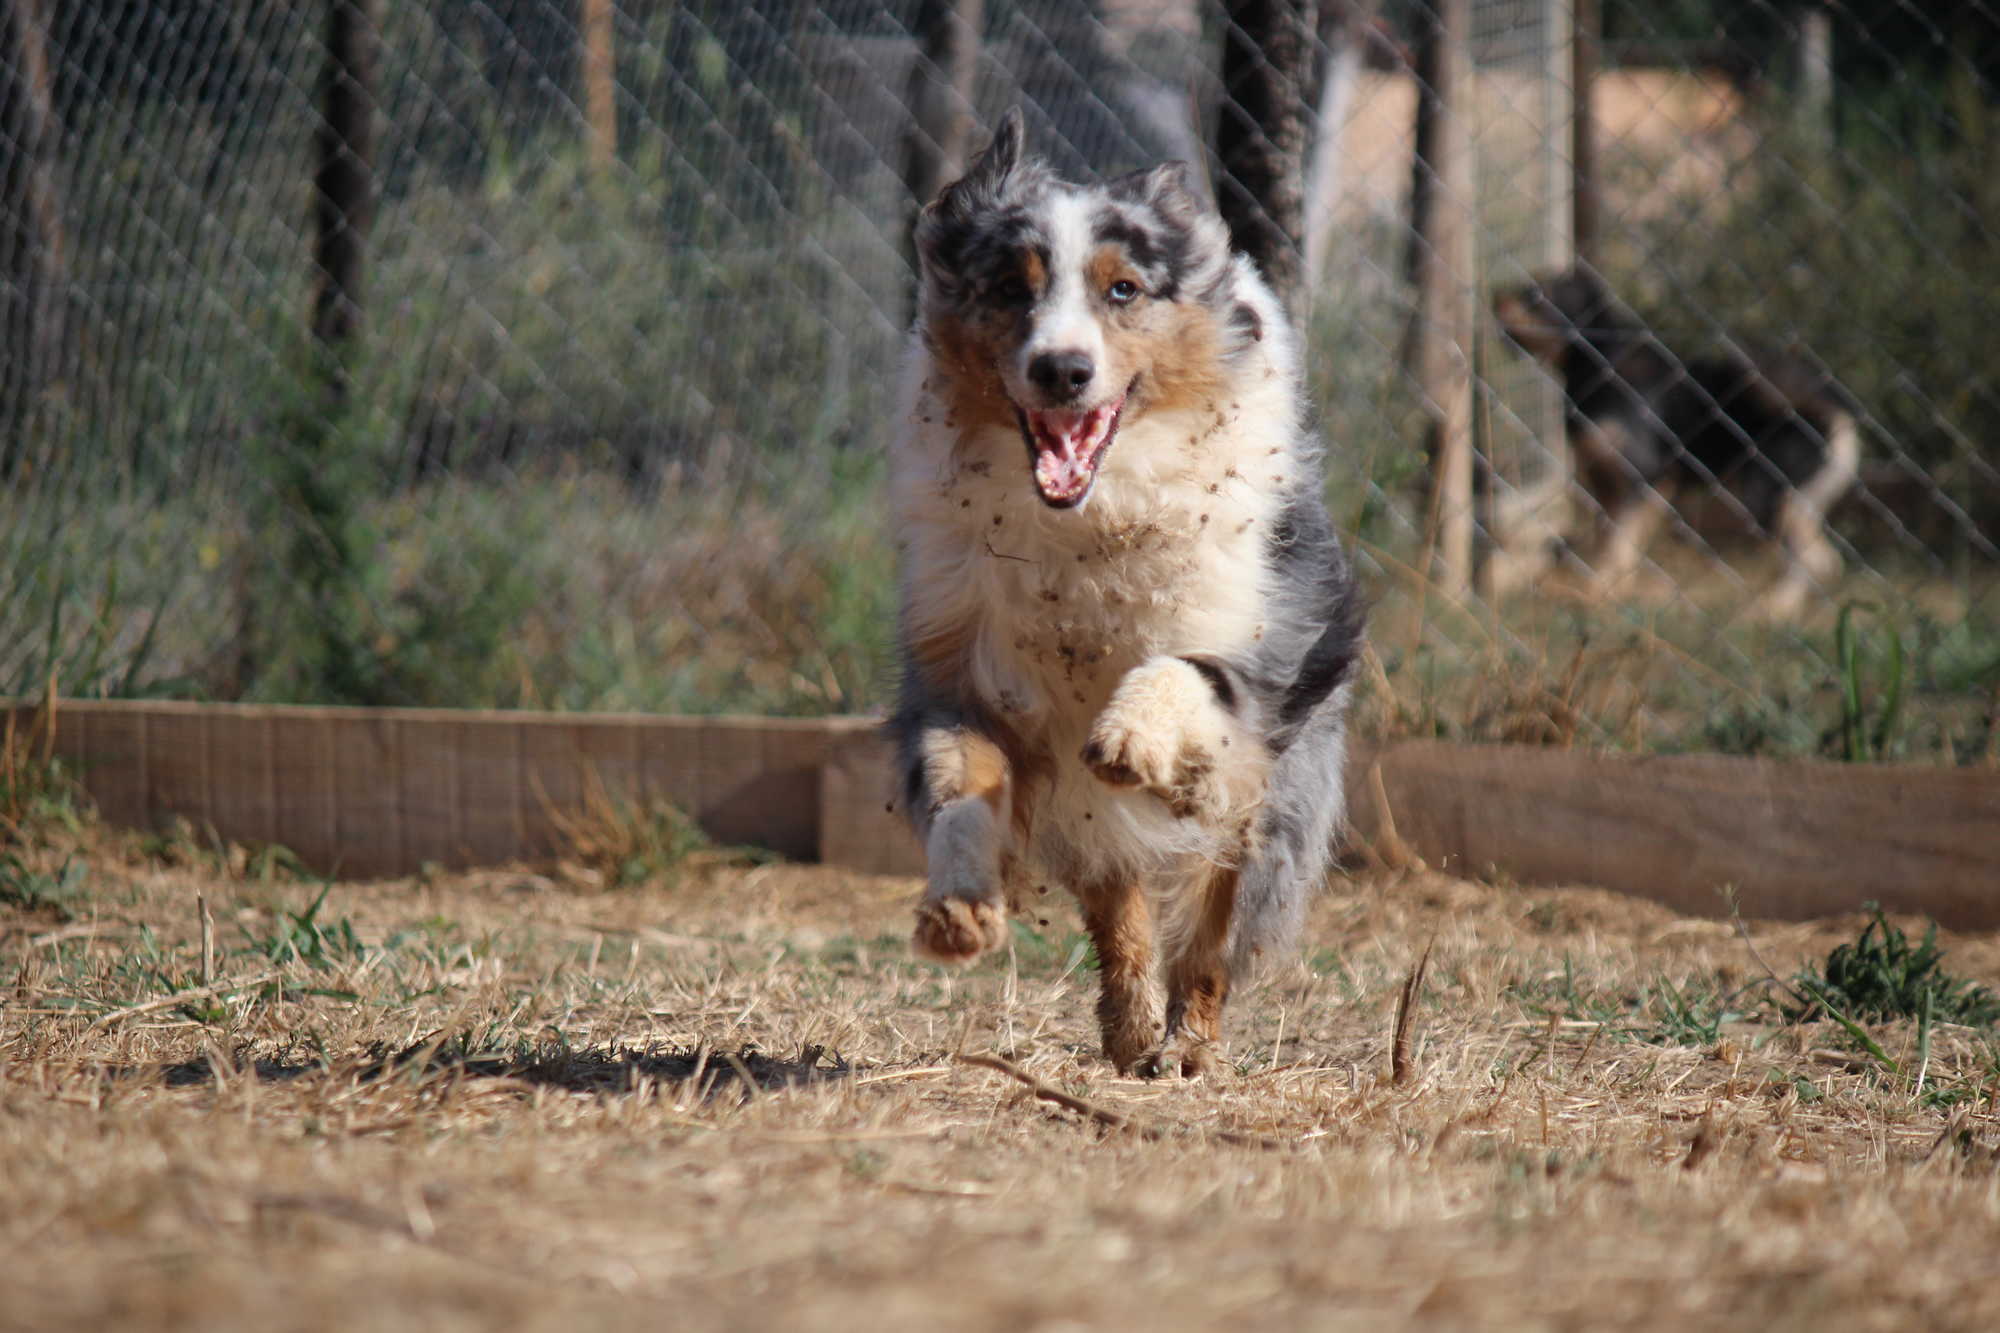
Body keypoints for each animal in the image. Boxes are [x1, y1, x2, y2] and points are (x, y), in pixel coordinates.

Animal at [888, 109, 1364, 1077]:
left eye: (1124, 290)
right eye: (1009, 287)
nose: (1063, 370)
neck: (1091, 518)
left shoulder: (1257, 650)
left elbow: (1180, 671)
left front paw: (1133, 733)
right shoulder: (961, 674)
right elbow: (961, 784)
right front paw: (958, 909)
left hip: (1273, 794)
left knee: (1214, 922)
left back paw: (1187, 1042)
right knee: (1122, 907)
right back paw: (1133, 1025)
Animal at [1494, 267, 1859, 620]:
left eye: (1539, 293)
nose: (1496, 299)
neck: (1598, 362)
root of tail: (1834, 417)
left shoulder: (1640, 480)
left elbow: (1617, 547)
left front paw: (1596, 592)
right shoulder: (1609, 485)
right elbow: (1611, 544)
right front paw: (1608, 590)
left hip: (1764, 497)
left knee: (1811, 561)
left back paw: (1775, 608)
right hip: (1795, 505)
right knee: (1821, 559)